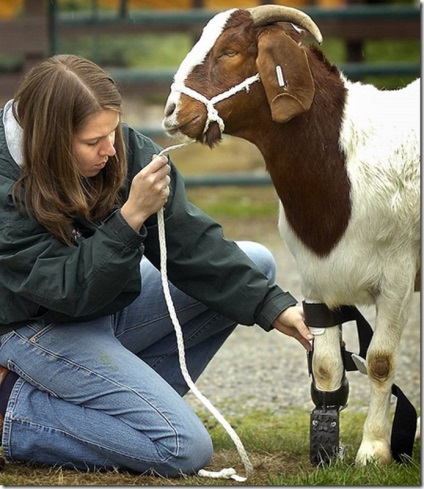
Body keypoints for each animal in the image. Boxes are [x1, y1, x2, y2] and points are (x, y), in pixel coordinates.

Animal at [162, 3, 420, 464]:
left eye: (230, 52)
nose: (173, 112)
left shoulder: (398, 276)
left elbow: (380, 362)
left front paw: (374, 449)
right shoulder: (316, 277)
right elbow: (327, 368)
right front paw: (328, 450)